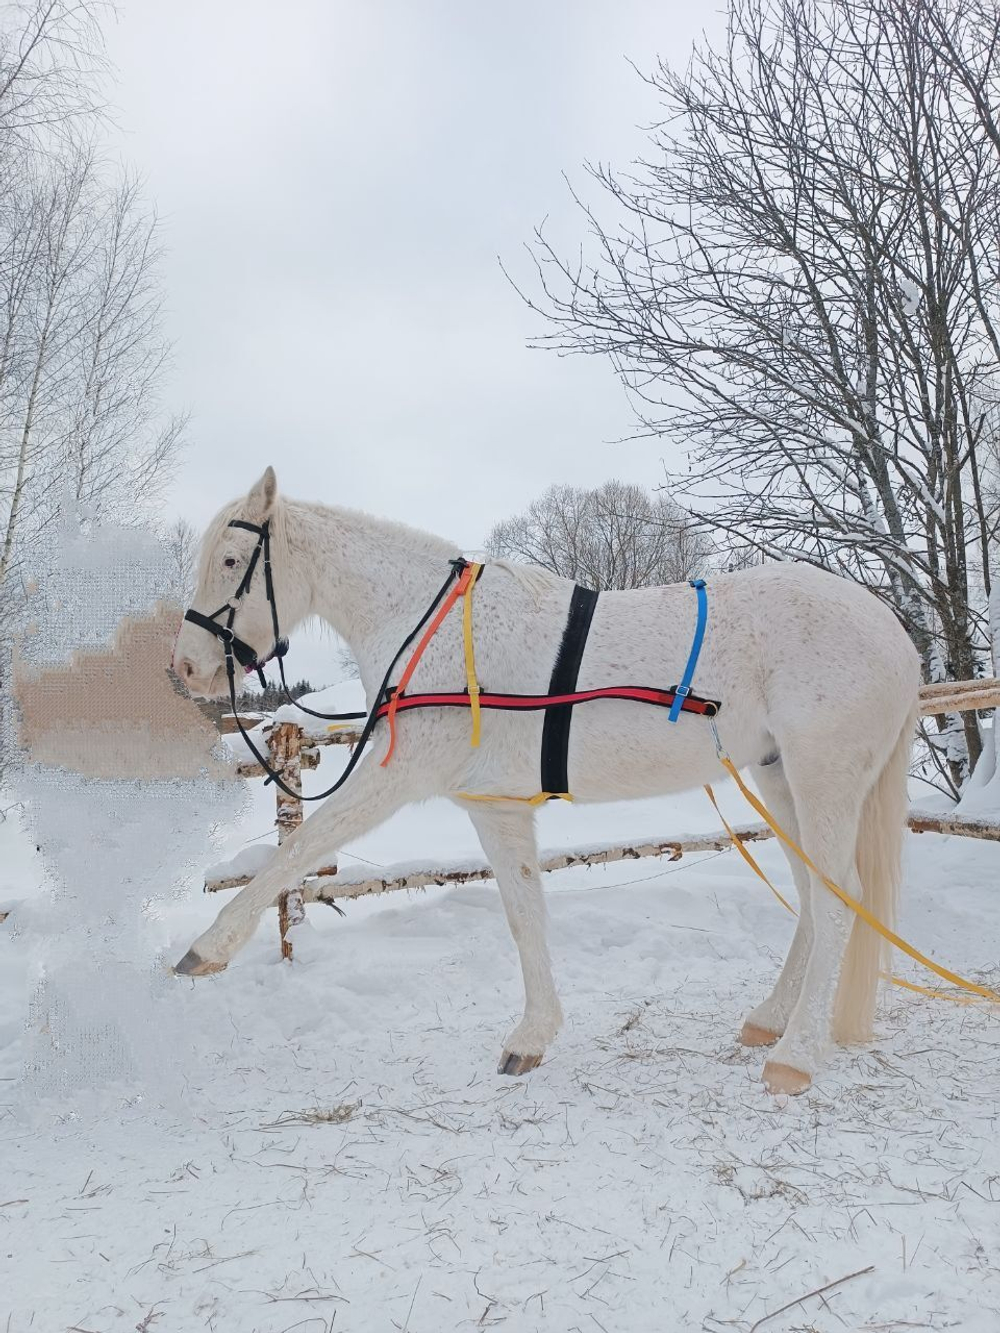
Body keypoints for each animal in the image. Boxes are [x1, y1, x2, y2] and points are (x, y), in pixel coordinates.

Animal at [172, 467, 920, 1096]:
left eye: (231, 561)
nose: (185, 670)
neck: (431, 630)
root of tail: (894, 633)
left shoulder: (401, 776)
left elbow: (297, 851)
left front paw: (206, 949)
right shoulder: (495, 805)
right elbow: (524, 914)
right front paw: (532, 1038)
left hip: (822, 780)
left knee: (838, 901)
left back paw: (795, 1055)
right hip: (779, 780)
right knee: (814, 896)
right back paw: (769, 1019)